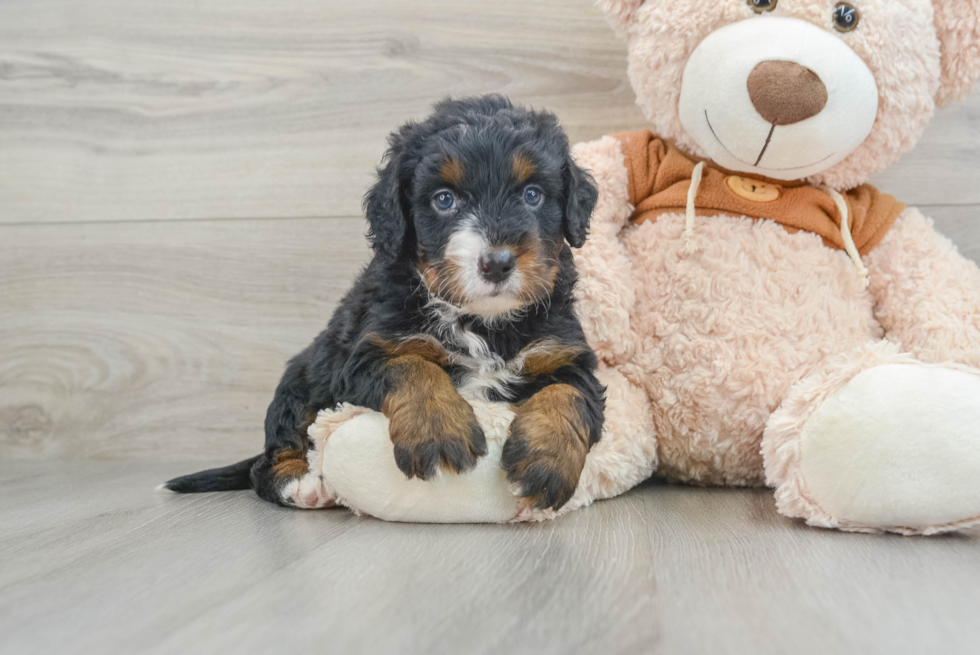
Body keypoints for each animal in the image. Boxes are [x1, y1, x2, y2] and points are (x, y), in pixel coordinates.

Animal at [165, 93, 600, 512]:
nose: (497, 262)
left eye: (532, 195)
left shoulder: (563, 353)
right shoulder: (365, 353)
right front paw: (437, 431)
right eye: (444, 200)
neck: (482, 321)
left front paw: (546, 462)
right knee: (269, 460)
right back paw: (303, 486)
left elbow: (570, 395)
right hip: (301, 383)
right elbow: (412, 366)